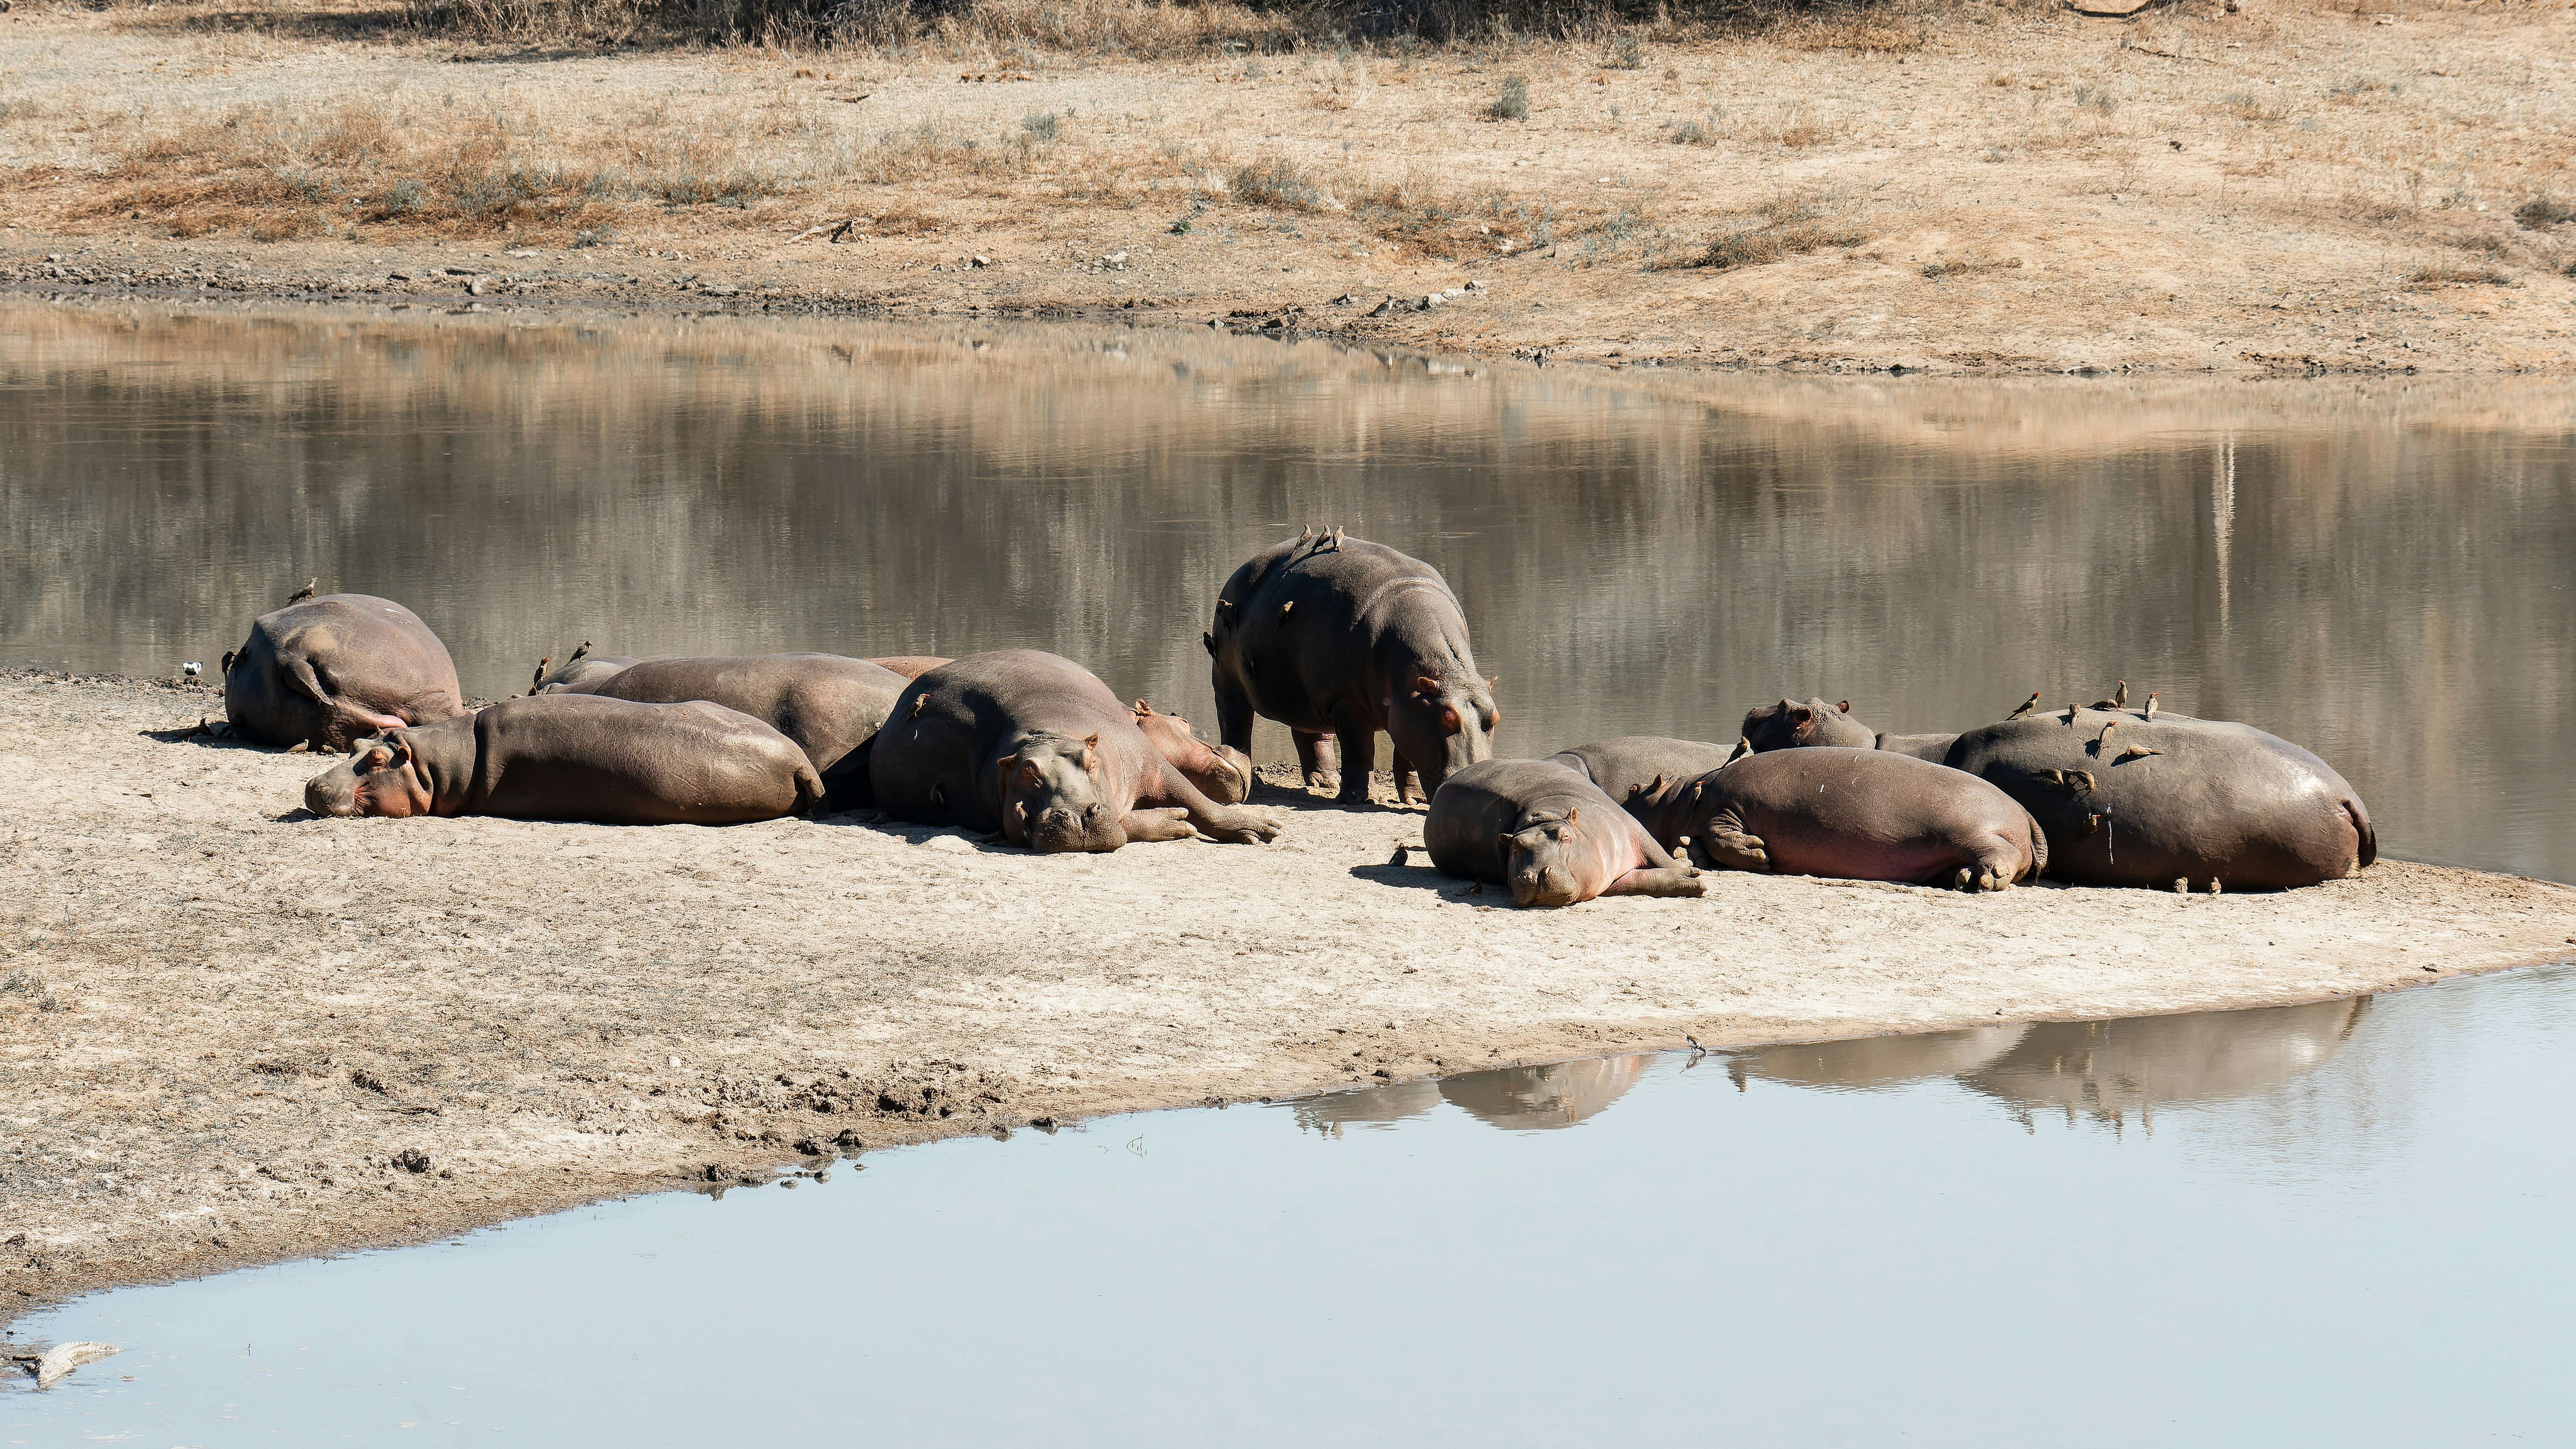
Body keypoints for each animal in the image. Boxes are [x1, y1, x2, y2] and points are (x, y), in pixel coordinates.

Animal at [1207, 529, 1498, 806]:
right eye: (1447, 717)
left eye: (1495, 719)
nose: (1469, 779)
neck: (1446, 673)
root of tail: (1238, 572)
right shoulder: (1347, 702)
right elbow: (1360, 752)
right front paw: (1359, 799)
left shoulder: (1407, 710)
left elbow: (1406, 757)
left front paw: (1413, 799)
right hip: (1228, 685)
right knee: (1235, 724)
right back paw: (1248, 774)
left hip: (1306, 696)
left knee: (1312, 734)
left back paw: (1326, 782)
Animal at [1424, 758, 1703, 907]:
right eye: (1515, 846)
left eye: (1564, 836)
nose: (1536, 875)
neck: (1544, 815)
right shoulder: (1605, 880)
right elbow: (1642, 881)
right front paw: (1692, 879)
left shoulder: (1633, 830)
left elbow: (1659, 860)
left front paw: (1689, 870)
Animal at [1650, 747, 2046, 891]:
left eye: (1641, 789)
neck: (1689, 793)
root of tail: (2027, 813)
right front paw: (1689, 851)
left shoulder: (1729, 805)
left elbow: (1722, 835)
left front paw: (1761, 857)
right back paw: (1964, 878)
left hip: (1968, 833)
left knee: (1999, 856)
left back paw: (1984, 880)